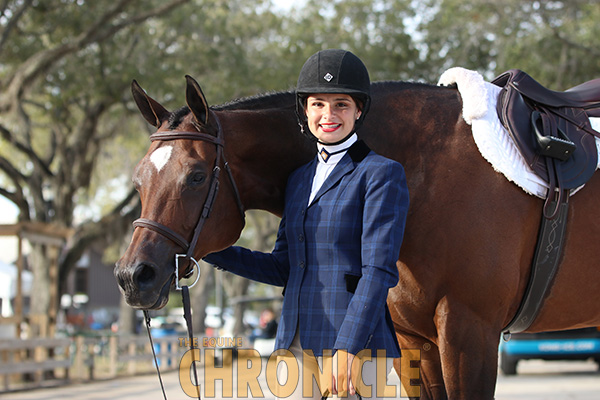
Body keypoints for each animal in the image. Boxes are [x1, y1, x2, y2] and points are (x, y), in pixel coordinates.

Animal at [115, 74, 600, 396]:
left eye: (196, 176)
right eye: (138, 181)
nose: (132, 276)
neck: (427, 169)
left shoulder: (470, 334)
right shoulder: (417, 342)